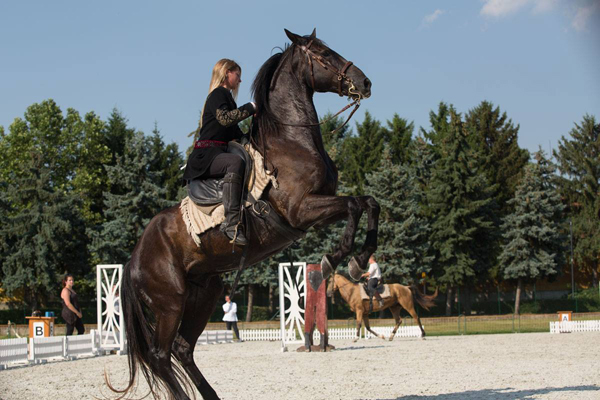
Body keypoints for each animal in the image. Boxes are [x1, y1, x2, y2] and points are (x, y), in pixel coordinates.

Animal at [116, 28, 380, 400]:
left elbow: (369, 202)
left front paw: (360, 261)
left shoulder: (319, 207)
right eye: (324, 54)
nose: (365, 82)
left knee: (182, 348)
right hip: (170, 303)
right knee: (160, 354)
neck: (292, 139)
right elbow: (356, 205)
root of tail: (134, 258)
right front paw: (333, 261)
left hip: (205, 291)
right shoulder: (302, 210)